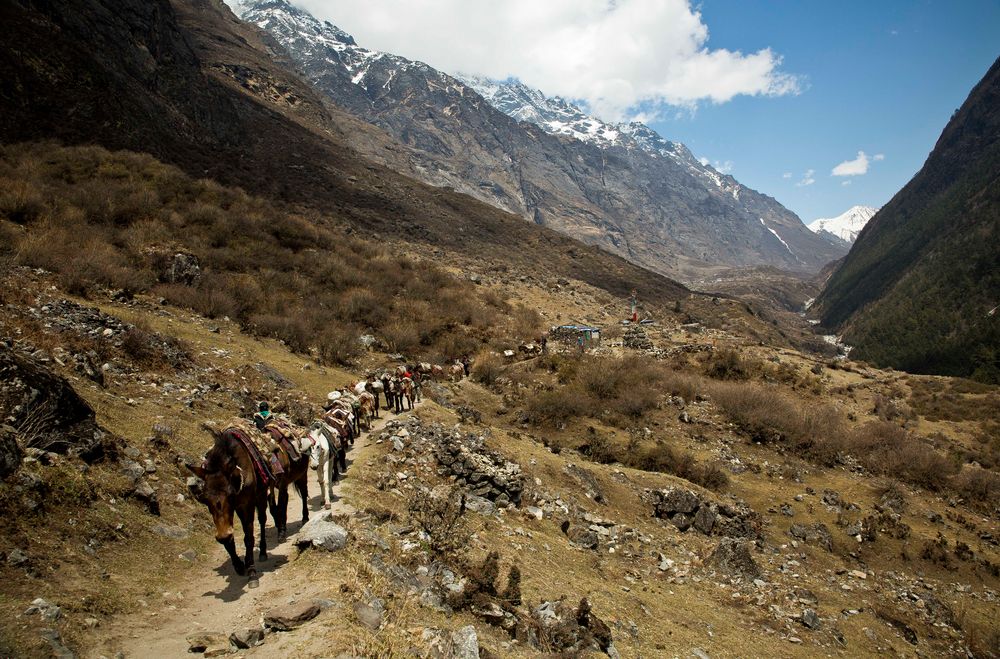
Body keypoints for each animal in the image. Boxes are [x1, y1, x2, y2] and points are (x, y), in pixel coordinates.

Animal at [186, 426, 268, 584]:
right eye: (204, 499)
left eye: (230, 495)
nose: (223, 535)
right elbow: (228, 541)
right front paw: (239, 566)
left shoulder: (246, 505)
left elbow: (248, 537)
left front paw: (251, 570)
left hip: (261, 496)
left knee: (262, 520)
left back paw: (262, 553)